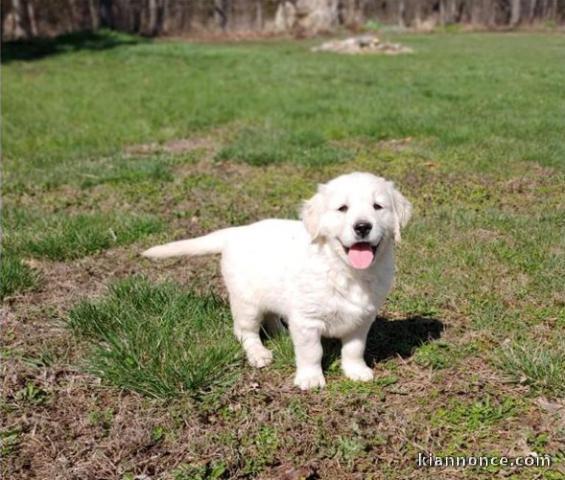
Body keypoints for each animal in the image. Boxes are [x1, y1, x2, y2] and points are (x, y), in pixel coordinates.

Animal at [143, 172, 412, 390]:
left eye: (378, 206)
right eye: (342, 208)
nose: (363, 227)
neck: (345, 270)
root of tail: (235, 233)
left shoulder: (362, 317)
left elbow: (354, 348)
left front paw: (356, 370)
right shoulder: (308, 320)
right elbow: (311, 352)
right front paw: (310, 378)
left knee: (272, 315)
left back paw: (283, 332)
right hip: (246, 303)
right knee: (244, 332)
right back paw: (258, 353)